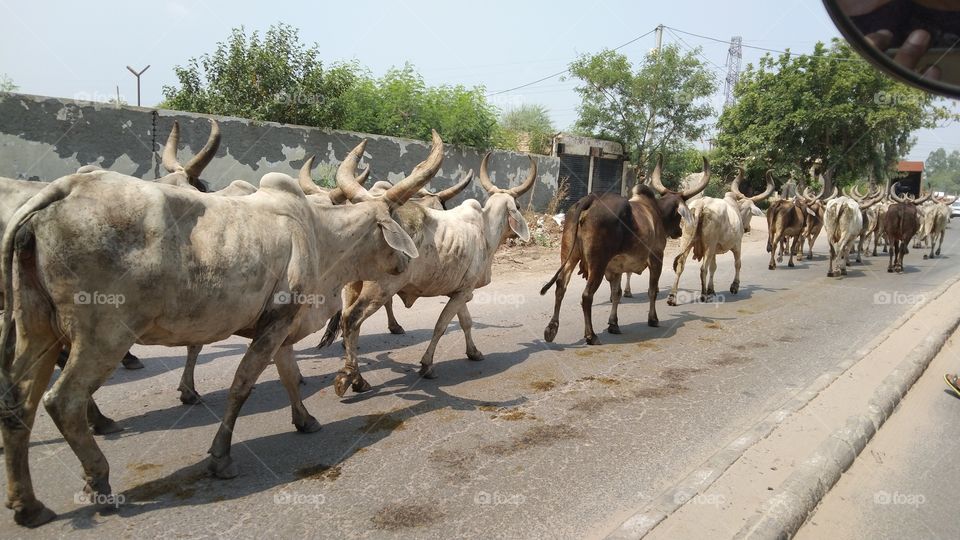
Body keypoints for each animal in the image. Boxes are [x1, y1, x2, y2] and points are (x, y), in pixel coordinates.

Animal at [0, 133, 444, 527]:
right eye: (393, 226)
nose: (407, 265)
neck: (321, 236)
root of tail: (62, 190)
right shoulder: (275, 323)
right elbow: (242, 386)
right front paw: (221, 457)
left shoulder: (280, 323)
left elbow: (288, 375)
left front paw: (305, 421)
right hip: (103, 334)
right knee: (63, 401)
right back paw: (99, 480)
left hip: (37, 328)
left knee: (18, 402)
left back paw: (28, 505)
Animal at [318, 152, 534, 395]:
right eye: (517, 205)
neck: (485, 231)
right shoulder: (463, 292)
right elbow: (441, 326)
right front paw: (427, 365)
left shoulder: (460, 291)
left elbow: (466, 322)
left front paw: (474, 352)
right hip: (380, 289)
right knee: (352, 319)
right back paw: (352, 379)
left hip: (353, 285)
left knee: (349, 324)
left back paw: (355, 376)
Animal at [541, 155, 708, 345]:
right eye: (678, 215)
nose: (679, 231)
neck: (656, 212)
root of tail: (589, 200)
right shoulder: (656, 258)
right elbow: (652, 291)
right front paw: (653, 319)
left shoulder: (616, 267)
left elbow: (617, 293)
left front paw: (613, 324)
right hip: (597, 264)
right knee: (586, 296)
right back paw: (591, 335)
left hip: (570, 256)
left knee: (561, 286)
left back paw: (551, 329)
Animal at [667, 168, 773, 305]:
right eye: (750, 213)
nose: (747, 228)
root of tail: (701, 204)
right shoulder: (737, 244)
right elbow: (737, 263)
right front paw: (734, 286)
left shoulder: (714, 250)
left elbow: (714, 267)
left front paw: (711, 289)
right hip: (709, 245)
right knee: (703, 269)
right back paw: (703, 295)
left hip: (686, 240)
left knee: (680, 264)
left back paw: (672, 297)